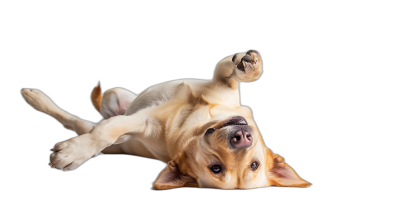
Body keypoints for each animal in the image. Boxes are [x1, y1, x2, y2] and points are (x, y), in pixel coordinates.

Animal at [20, 50, 310, 190]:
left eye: (254, 164)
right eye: (216, 168)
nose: (243, 138)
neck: (199, 119)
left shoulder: (141, 125)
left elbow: (108, 131)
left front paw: (76, 151)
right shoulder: (221, 82)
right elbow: (237, 71)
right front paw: (249, 64)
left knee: (80, 123)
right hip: (116, 95)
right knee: (101, 110)